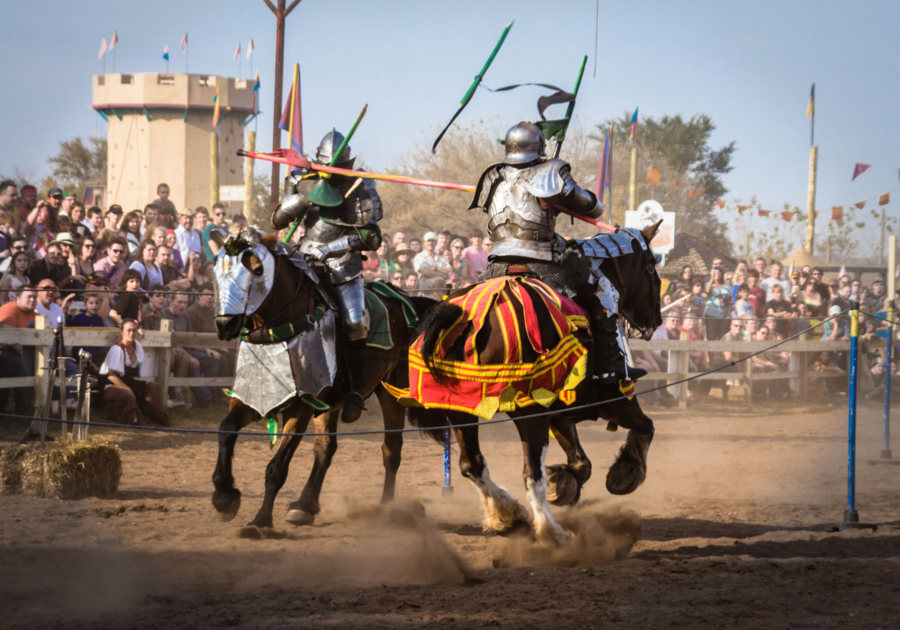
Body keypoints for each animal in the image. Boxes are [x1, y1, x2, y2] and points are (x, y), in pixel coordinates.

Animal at [208, 230, 446, 532]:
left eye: (258, 269)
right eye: (217, 270)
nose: (224, 324)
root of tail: (410, 302)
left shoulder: (300, 407)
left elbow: (277, 467)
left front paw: (260, 522)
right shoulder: (252, 397)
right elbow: (226, 430)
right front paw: (224, 496)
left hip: (392, 393)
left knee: (391, 450)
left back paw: (386, 509)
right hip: (330, 403)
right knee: (325, 450)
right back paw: (304, 505)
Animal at [410, 225, 660, 544]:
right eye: (651, 266)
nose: (654, 320)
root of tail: (463, 316)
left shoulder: (560, 411)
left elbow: (581, 462)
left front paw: (563, 483)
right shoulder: (615, 400)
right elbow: (645, 427)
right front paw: (625, 472)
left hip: (461, 411)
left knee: (472, 465)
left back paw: (509, 516)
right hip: (527, 412)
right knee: (531, 475)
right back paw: (551, 533)